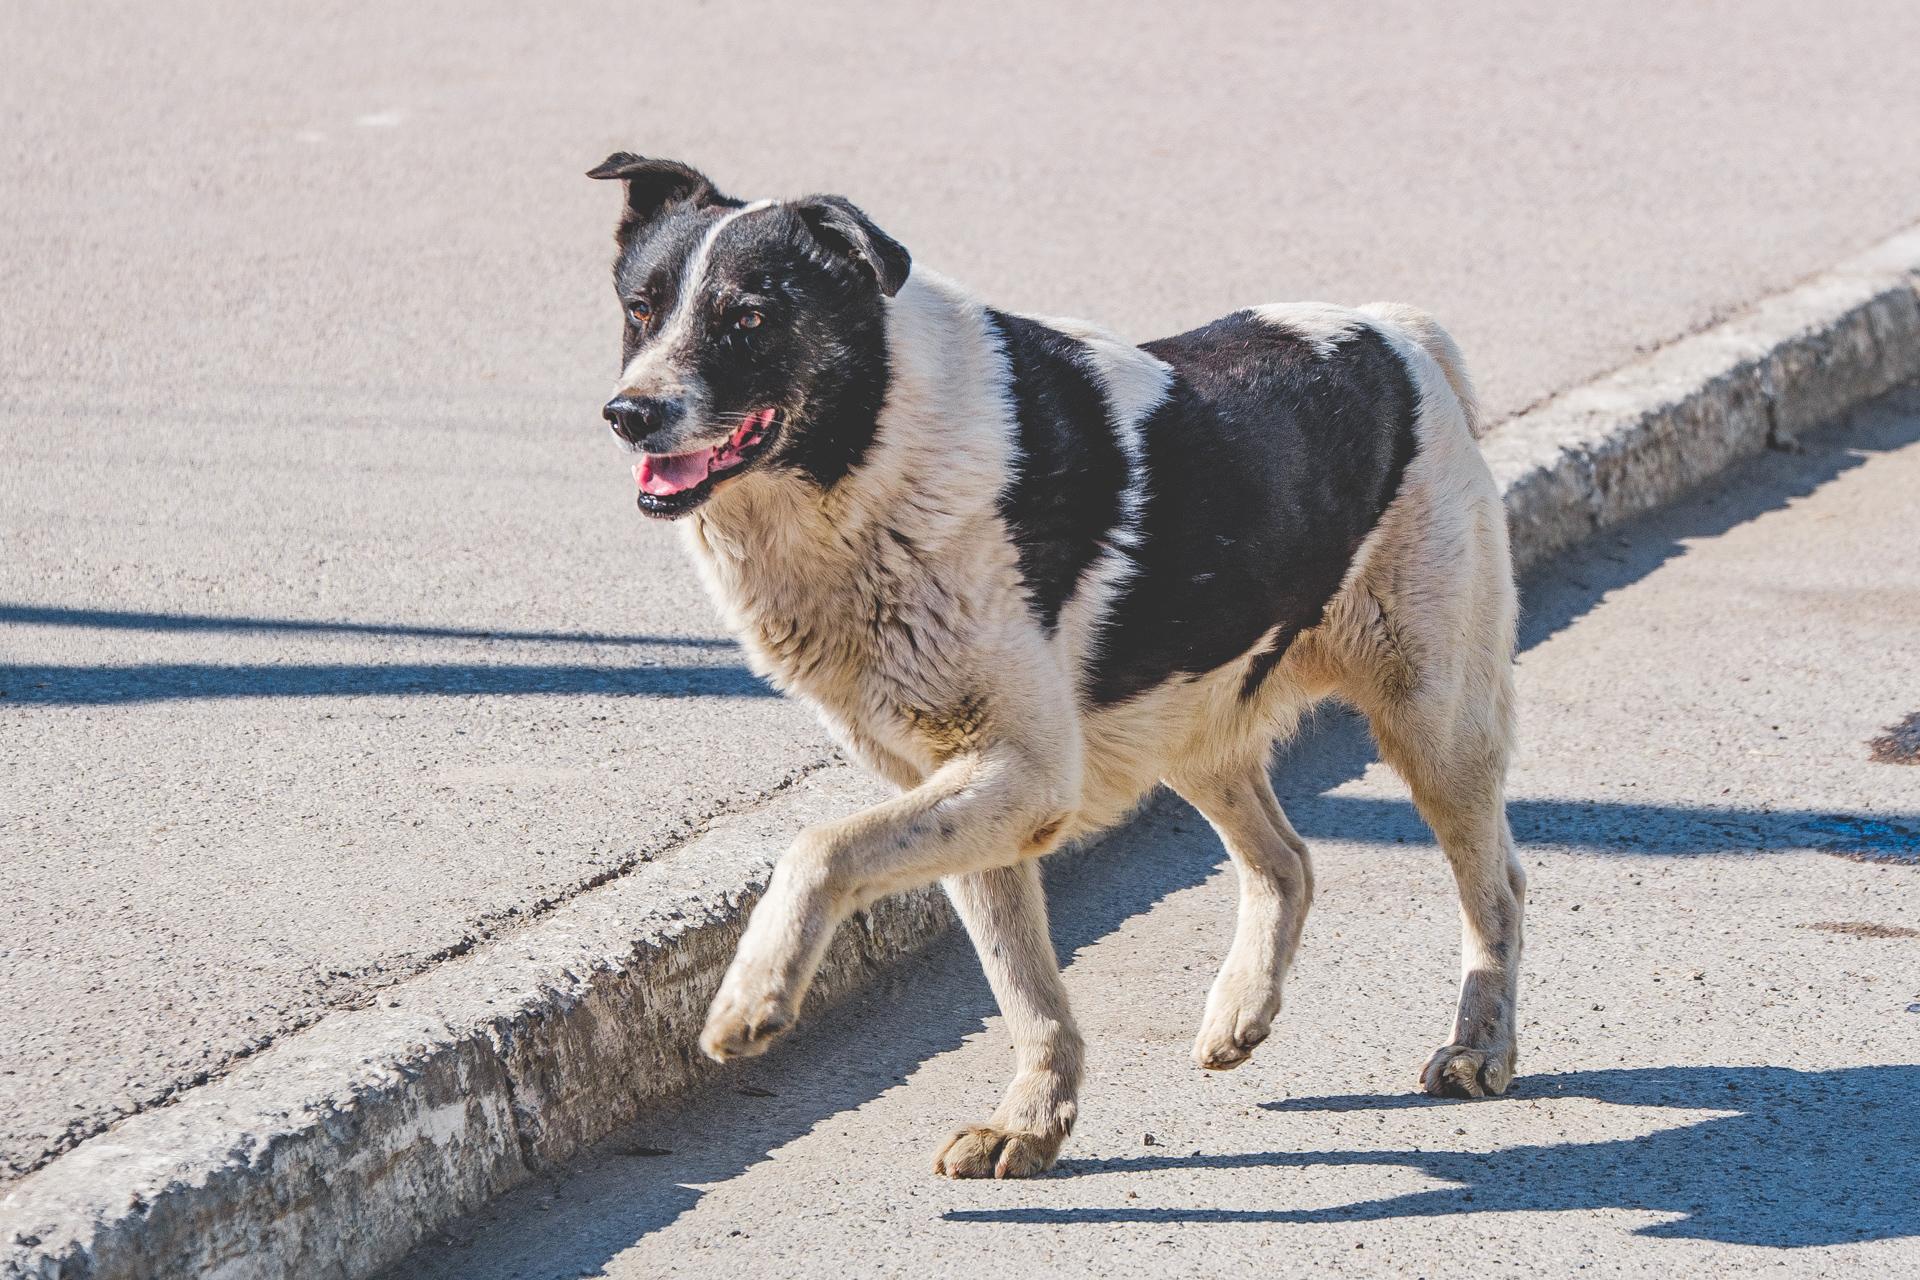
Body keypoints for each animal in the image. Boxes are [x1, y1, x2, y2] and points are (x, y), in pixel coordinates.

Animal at [591, 157, 1520, 1182]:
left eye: (749, 316)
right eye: (641, 309)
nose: (628, 414)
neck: (872, 456)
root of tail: (1394, 330)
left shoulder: (1025, 775)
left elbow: (819, 846)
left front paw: (751, 998)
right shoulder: (961, 788)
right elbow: (1023, 986)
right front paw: (1032, 1122)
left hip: (1431, 719)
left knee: (1495, 886)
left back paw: (1479, 1047)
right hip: (1188, 720)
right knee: (1288, 862)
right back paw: (1240, 1011)